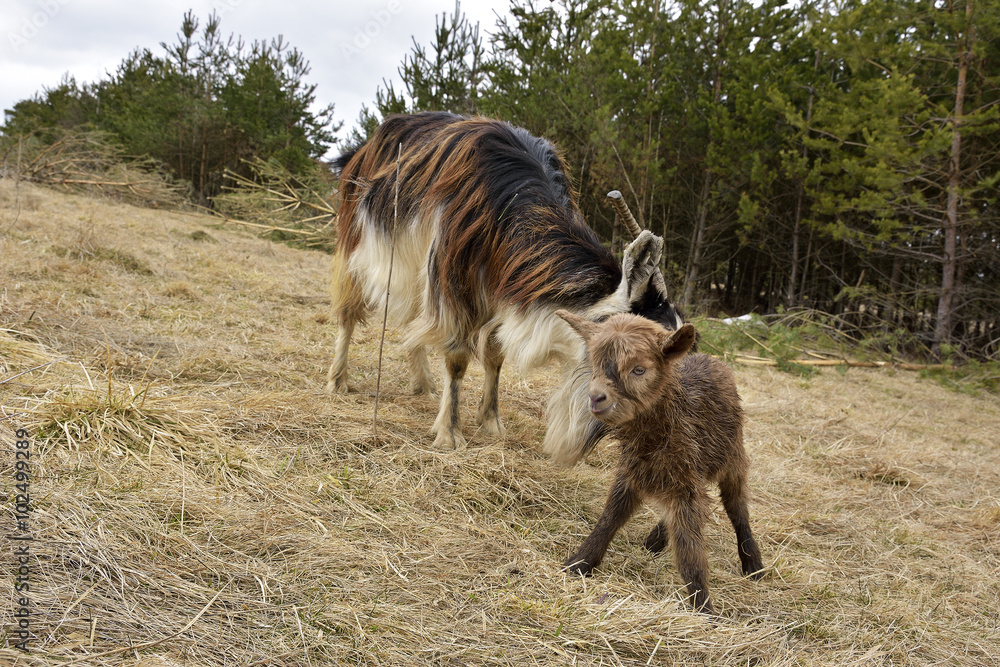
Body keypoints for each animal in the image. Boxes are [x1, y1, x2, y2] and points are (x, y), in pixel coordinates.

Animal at [324, 113, 684, 460]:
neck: (510, 203)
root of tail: (361, 150)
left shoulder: (504, 287)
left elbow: (496, 354)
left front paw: (490, 422)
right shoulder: (454, 279)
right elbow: (457, 357)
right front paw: (449, 433)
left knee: (415, 319)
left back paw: (423, 383)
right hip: (358, 240)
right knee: (350, 310)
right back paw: (338, 380)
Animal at [556, 310, 764, 612]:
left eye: (639, 370)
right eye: (595, 364)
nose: (595, 398)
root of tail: (712, 359)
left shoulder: (685, 481)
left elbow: (690, 552)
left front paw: (704, 607)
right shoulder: (633, 473)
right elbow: (609, 519)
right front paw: (578, 564)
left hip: (732, 457)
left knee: (737, 509)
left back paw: (753, 563)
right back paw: (656, 540)